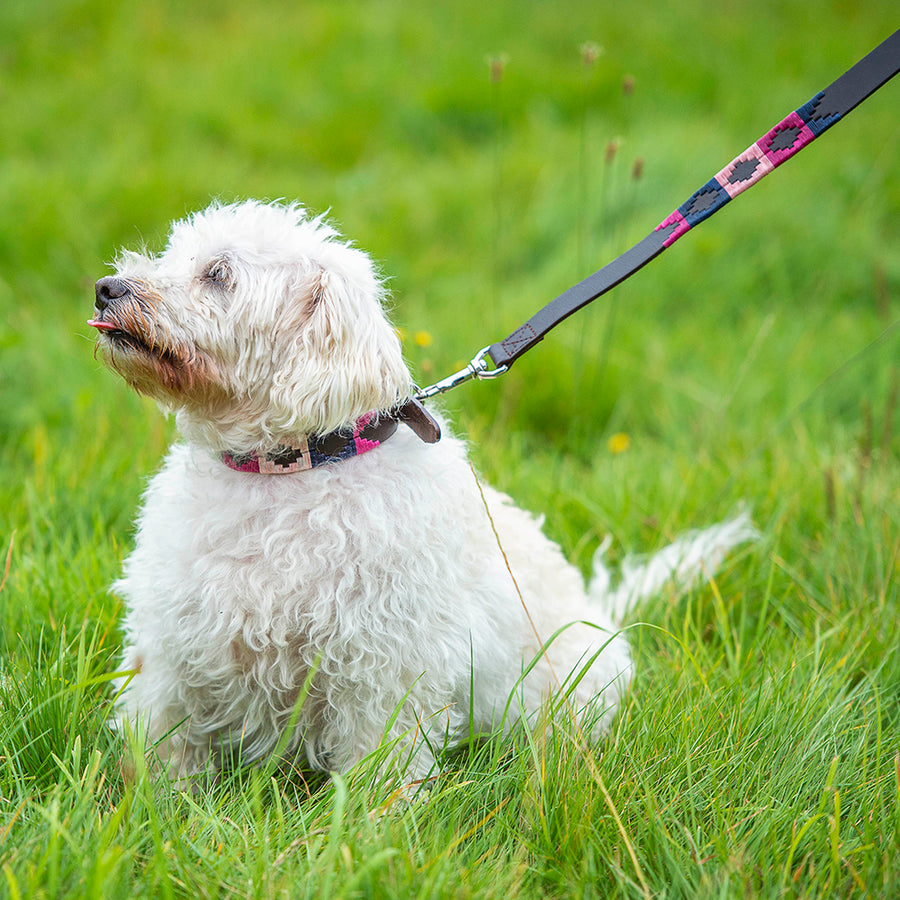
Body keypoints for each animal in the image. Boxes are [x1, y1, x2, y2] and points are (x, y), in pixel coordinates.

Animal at [89, 200, 752, 784]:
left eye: (219, 274)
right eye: (172, 253)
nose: (106, 287)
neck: (284, 471)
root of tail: (604, 615)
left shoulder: (382, 665)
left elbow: (382, 769)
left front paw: (366, 831)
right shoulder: (174, 648)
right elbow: (166, 745)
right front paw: (157, 806)